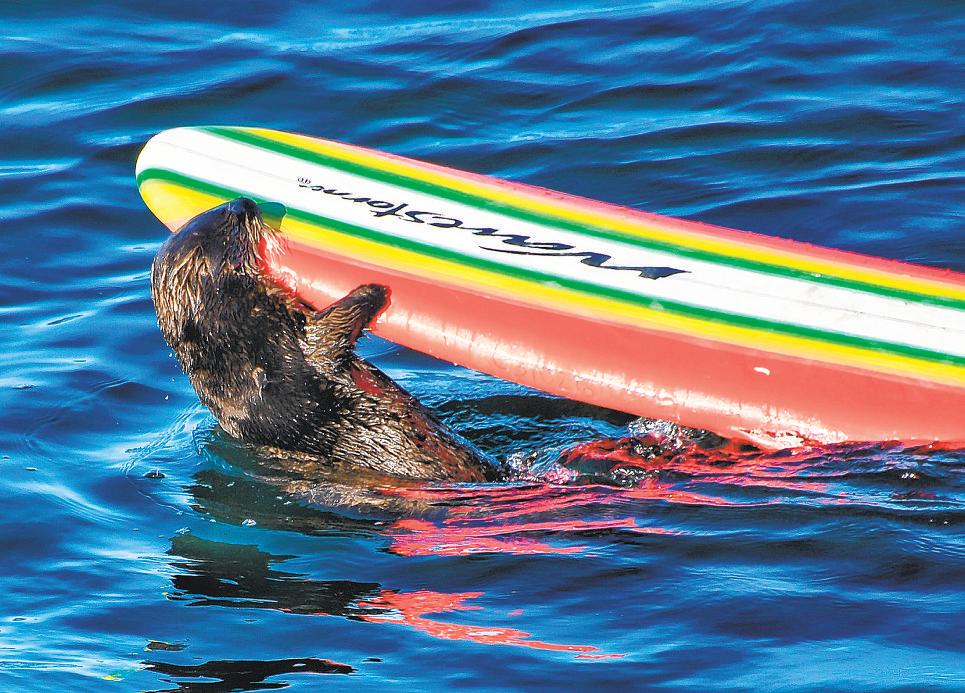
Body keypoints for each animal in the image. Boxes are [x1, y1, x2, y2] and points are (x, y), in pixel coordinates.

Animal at [150, 197, 498, 483]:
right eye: (229, 223)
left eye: (222, 209)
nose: (244, 204)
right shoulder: (276, 349)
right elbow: (326, 339)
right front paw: (372, 290)